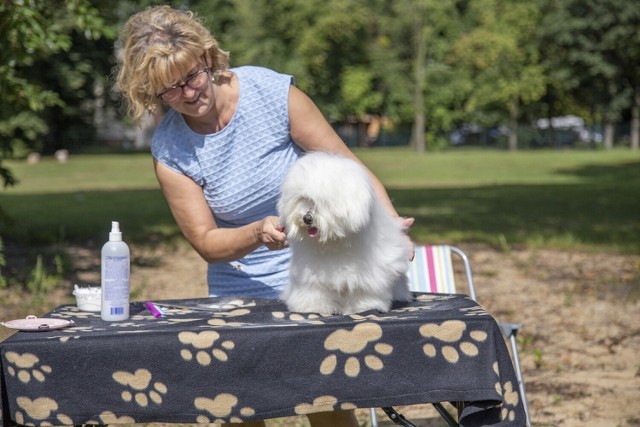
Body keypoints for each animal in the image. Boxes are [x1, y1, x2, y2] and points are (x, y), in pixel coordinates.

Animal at [278, 151, 412, 314]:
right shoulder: (311, 272)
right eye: (303, 198)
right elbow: (314, 290)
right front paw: (313, 307)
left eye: (325, 202)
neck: (333, 242)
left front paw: (363, 306)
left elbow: (364, 289)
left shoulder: (369, 272)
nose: (307, 218)